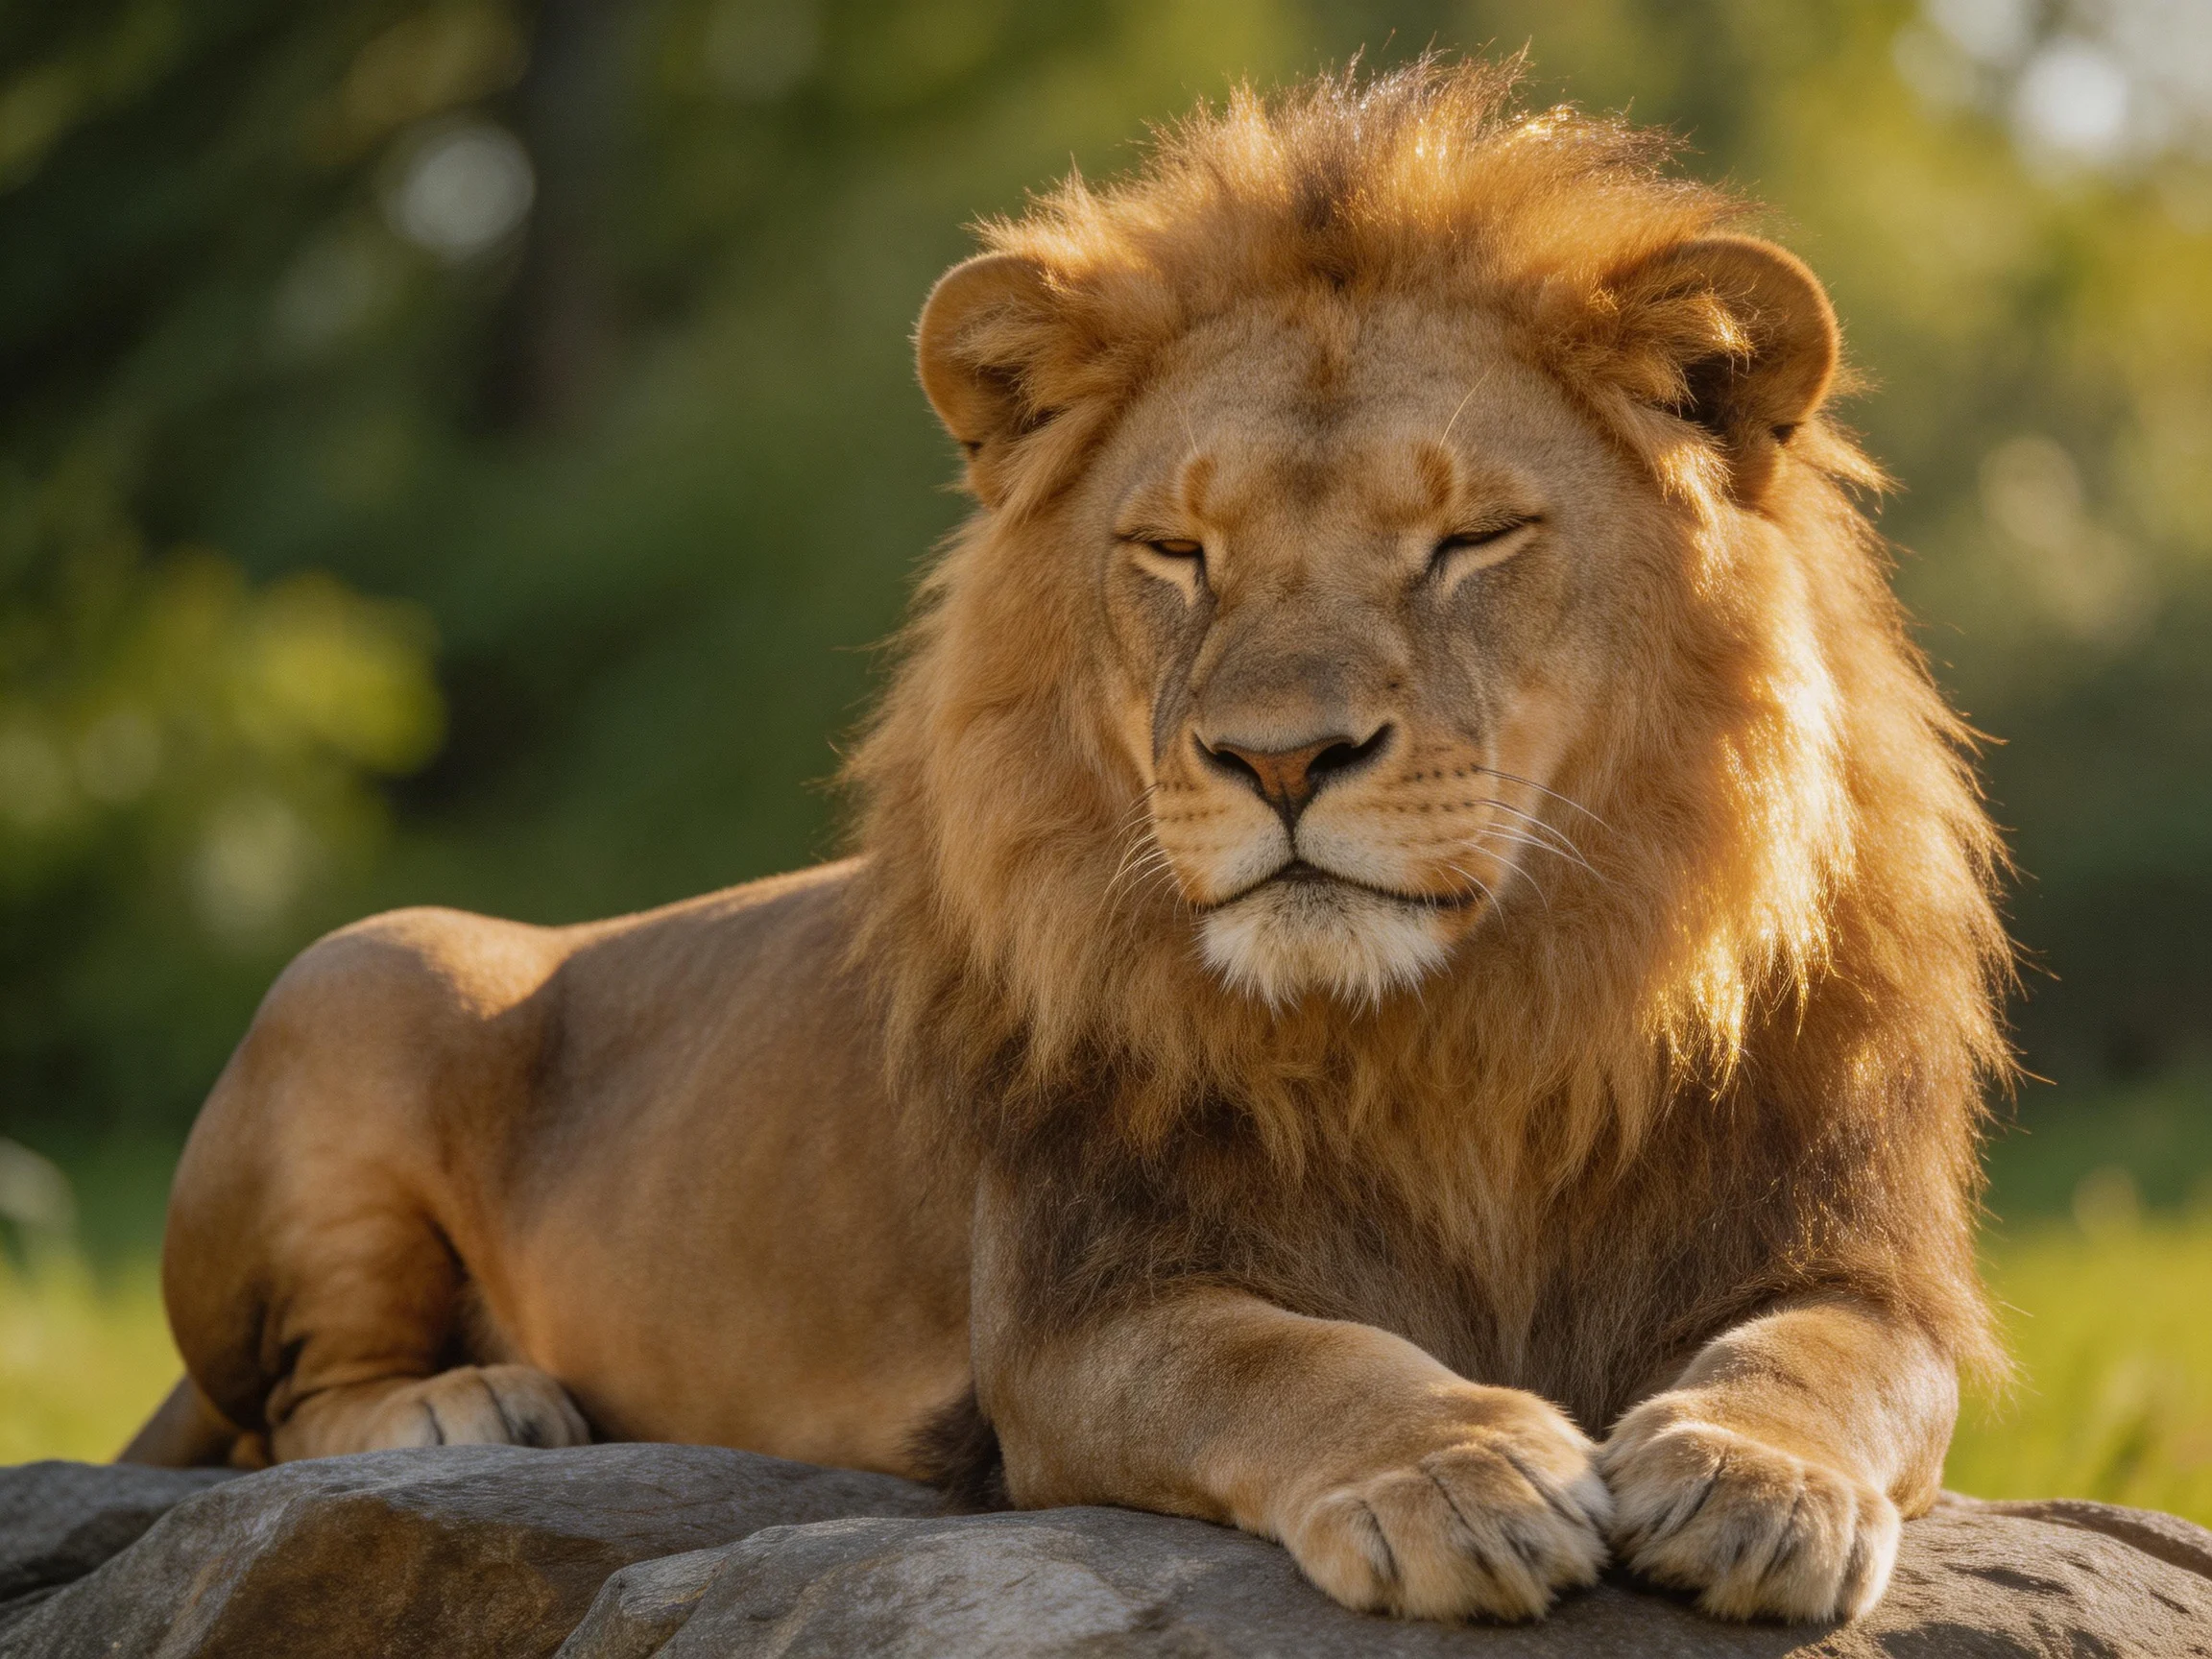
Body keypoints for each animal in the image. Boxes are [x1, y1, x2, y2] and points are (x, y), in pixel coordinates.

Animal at [127, 60, 2010, 1626]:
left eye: (1470, 538)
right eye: (1174, 551)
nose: (1278, 757)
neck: (1458, 1037)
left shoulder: (1865, 1257)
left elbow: (1829, 1359)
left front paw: (1753, 1480)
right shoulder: (1077, 1317)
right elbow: (1289, 1360)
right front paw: (1456, 1475)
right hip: (365, 966)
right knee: (281, 1405)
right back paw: (467, 1403)